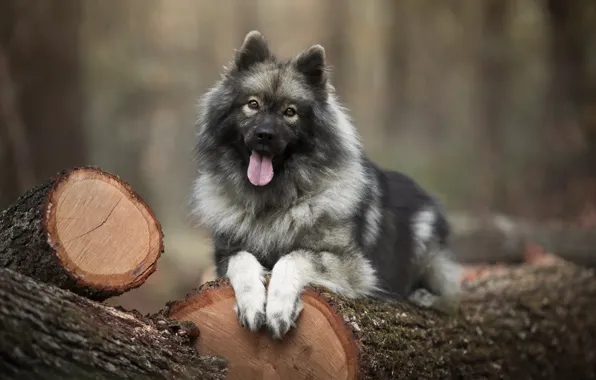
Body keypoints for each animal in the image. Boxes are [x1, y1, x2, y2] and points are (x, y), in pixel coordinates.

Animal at [190, 29, 460, 338]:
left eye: (290, 112)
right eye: (252, 104)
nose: (264, 135)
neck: (274, 202)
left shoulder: (353, 265)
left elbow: (294, 257)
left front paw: (280, 308)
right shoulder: (224, 255)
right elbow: (243, 260)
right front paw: (252, 304)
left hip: (426, 249)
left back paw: (423, 296)